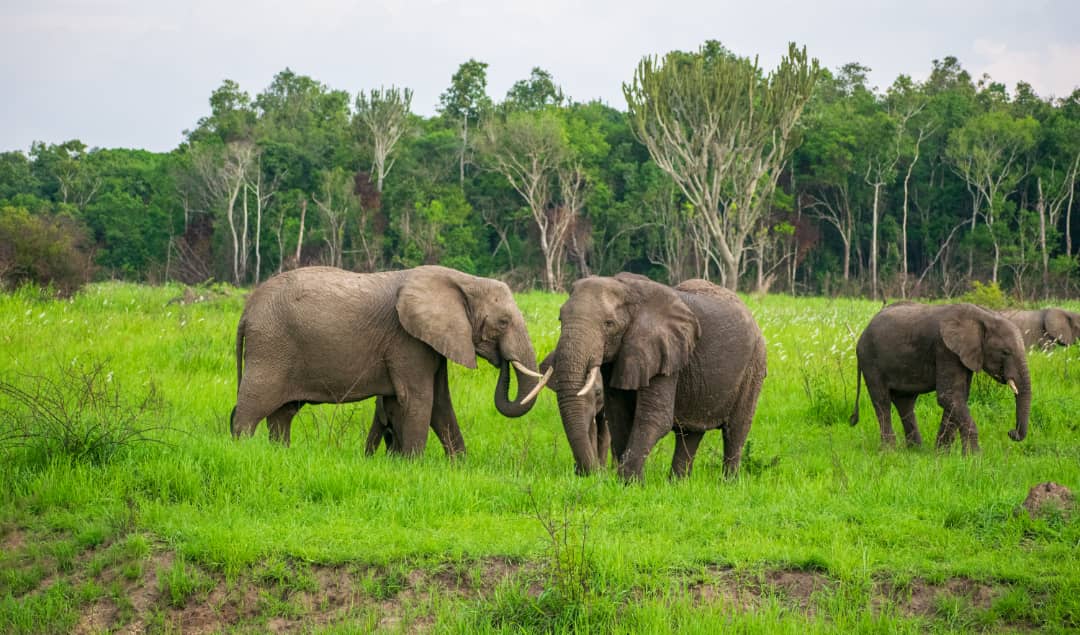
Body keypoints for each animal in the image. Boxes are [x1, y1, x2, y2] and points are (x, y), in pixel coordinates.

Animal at [230, 265, 548, 456]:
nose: (502, 361)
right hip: (271, 347)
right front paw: (414, 466)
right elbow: (420, 399)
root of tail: (246, 312)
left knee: (282, 414)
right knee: (252, 408)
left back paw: (280, 454)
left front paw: (459, 467)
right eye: (504, 322)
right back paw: (242, 450)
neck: (464, 280)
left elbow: (441, 403)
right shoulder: (407, 340)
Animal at [545, 273, 767, 482]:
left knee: (736, 430)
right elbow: (618, 415)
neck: (627, 289)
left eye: (609, 324)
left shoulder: (664, 350)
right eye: (560, 319)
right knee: (690, 433)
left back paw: (727, 483)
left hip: (754, 364)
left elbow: (655, 417)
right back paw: (677, 485)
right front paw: (624, 482)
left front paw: (630, 484)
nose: (589, 474)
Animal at [850, 302, 1031, 453]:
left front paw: (942, 455)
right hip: (870, 360)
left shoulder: (962, 354)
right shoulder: (945, 349)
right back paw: (889, 451)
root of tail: (863, 331)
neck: (984, 316)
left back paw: (916, 450)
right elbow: (949, 397)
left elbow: (957, 398)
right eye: (1005, 352)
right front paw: (974, 457)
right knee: (882, 401)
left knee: (905, 402)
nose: (1011, 432)